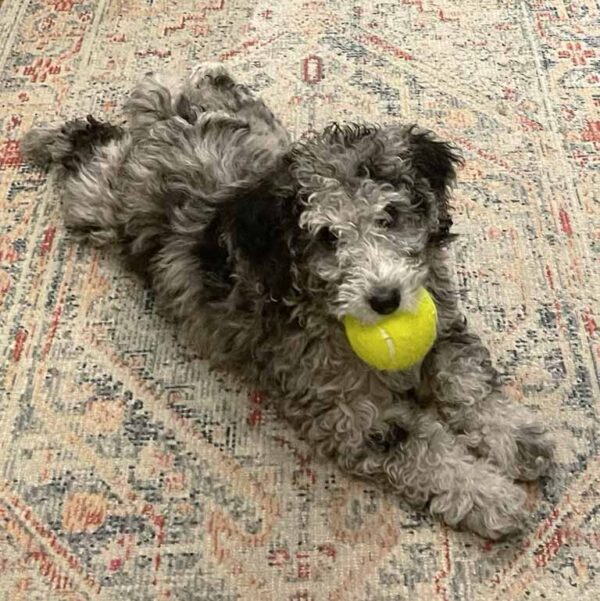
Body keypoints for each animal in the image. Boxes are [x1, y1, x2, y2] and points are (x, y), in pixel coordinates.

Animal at [23, 62, 552, 540]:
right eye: (326, 237)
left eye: (390, 215)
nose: (386, 300)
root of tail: (163, 117)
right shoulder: (351, 413)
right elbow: (424, 450)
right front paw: (490, 495)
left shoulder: (441, 324)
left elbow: (469, 382)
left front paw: (517, 438)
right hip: (98, 200)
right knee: (89, 144)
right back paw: (43, 137)